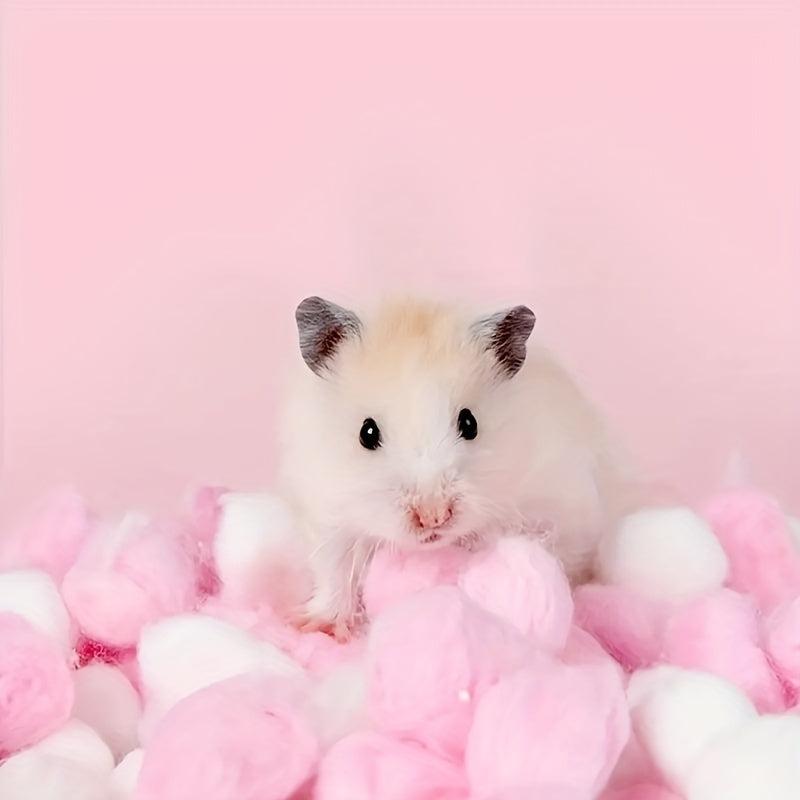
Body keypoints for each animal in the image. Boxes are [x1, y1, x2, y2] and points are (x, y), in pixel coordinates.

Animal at [278, 295, 631, 639]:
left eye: (469, 423)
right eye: (367, 432)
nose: (433, 517)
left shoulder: (558, 503)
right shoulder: (327, 516)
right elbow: (335, 572)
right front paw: (318, 626)